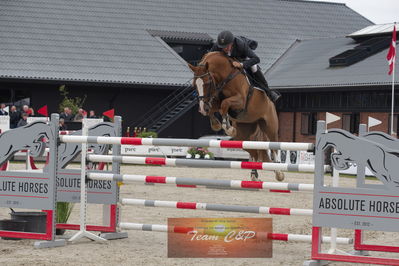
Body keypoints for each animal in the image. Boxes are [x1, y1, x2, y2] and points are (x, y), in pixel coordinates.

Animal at [188, 51, 284, 181]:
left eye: (207, 83)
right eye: (194, 85)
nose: (203, 109)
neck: (225, 76)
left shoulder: (240, 100)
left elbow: (225, 104)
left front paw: (228, 128)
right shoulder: (214, 100)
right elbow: (216, 108)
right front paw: (217, 124)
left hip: (270, 125)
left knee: (274, 146)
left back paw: (279, 172)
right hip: (243, 134)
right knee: (254, 151)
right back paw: (254, 175)